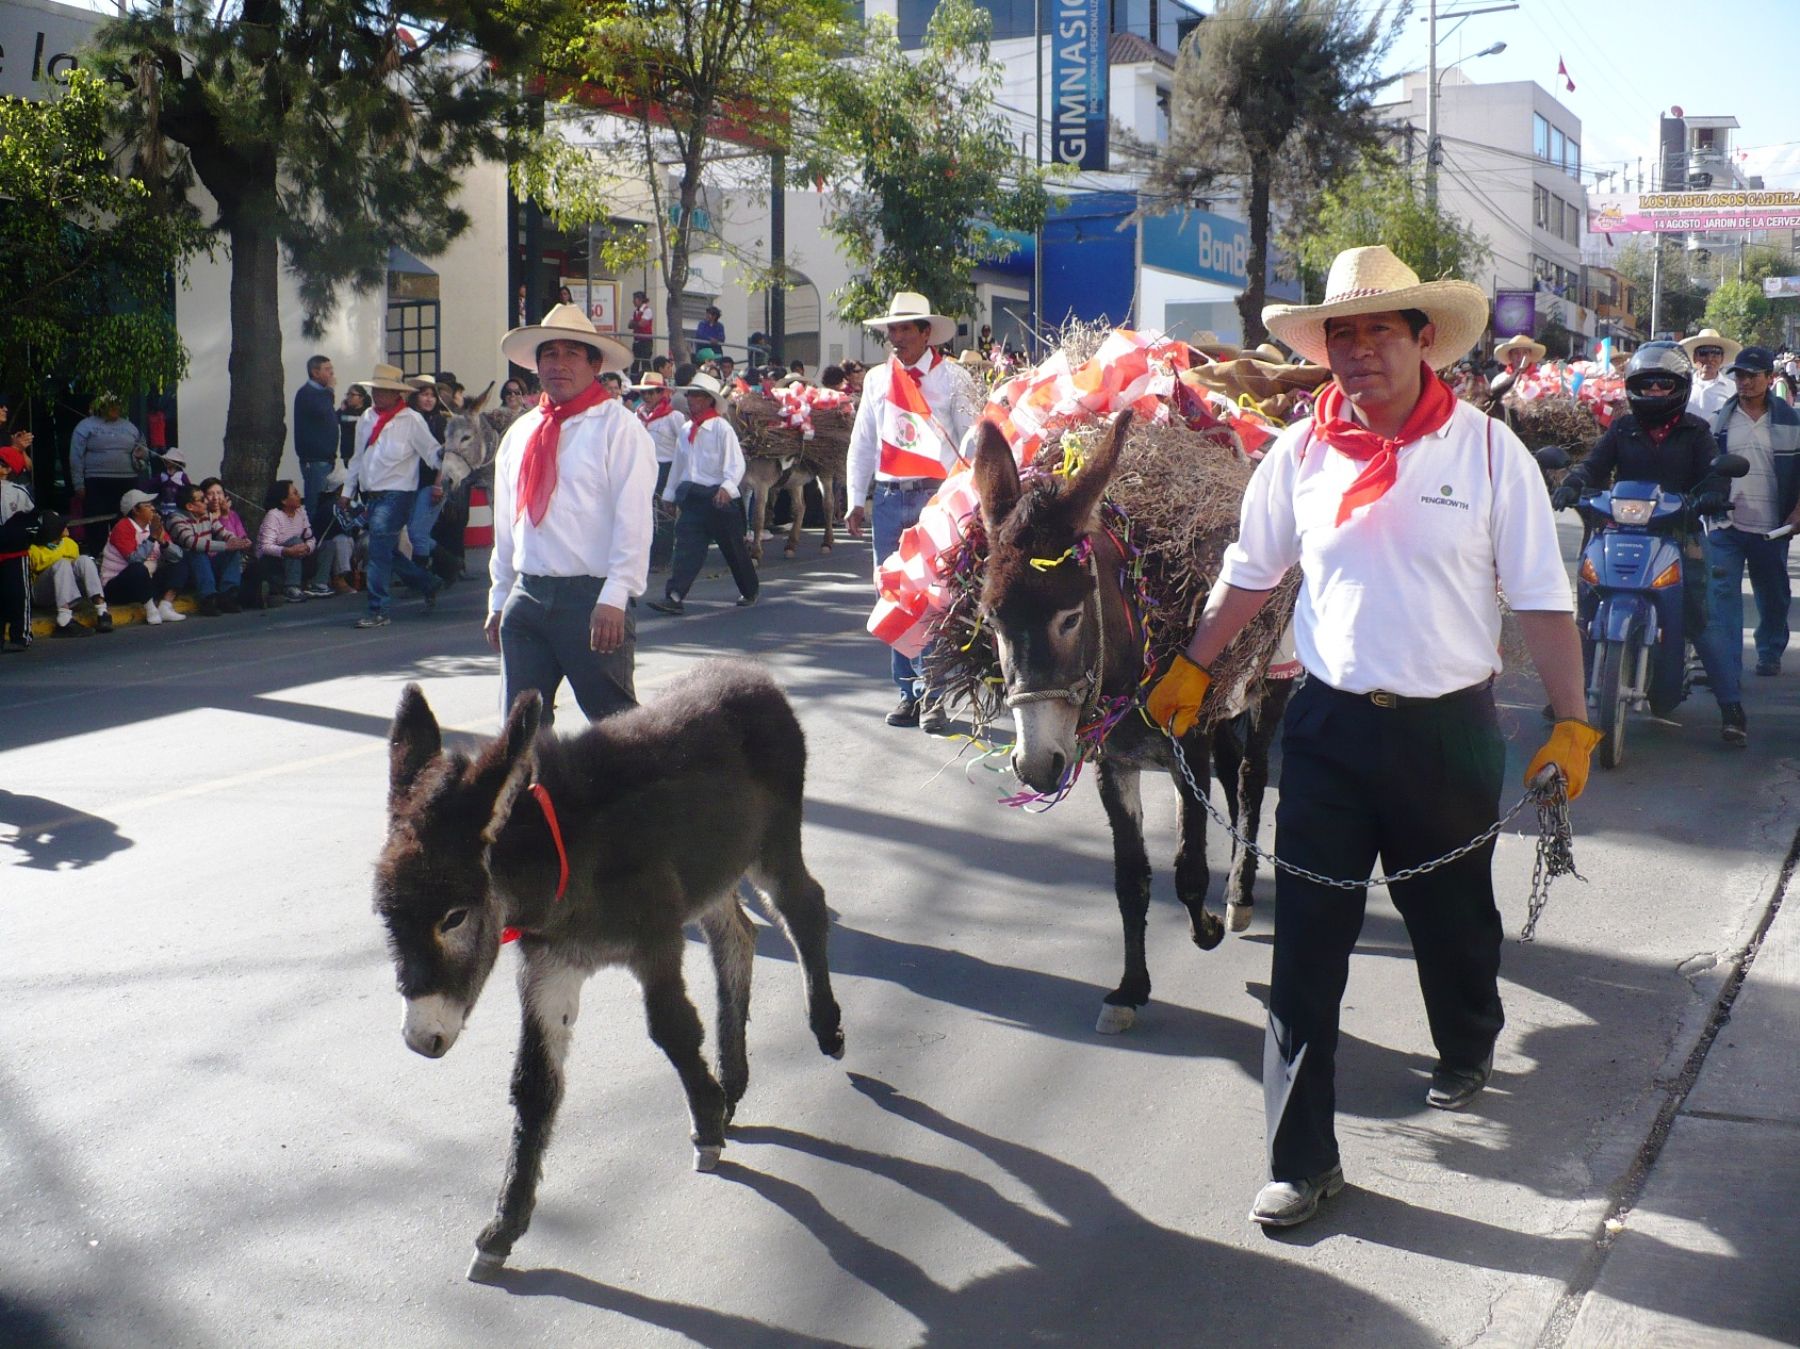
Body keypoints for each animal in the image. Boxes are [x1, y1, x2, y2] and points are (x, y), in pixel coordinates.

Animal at [374, 659, 849, 1275]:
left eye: (453, 918)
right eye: (386, 919)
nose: (420, 1039)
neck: (567, 859)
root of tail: (750, 673)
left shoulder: (656, 943)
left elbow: (672, 1030)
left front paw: (705, 1127)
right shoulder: (550, 969)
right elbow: (534, 1084)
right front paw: (503, 1228)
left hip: (772, 845)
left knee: (805, 909)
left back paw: (823, 1029)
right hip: (712, 875)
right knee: (737, 938)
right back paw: (734, 1080)